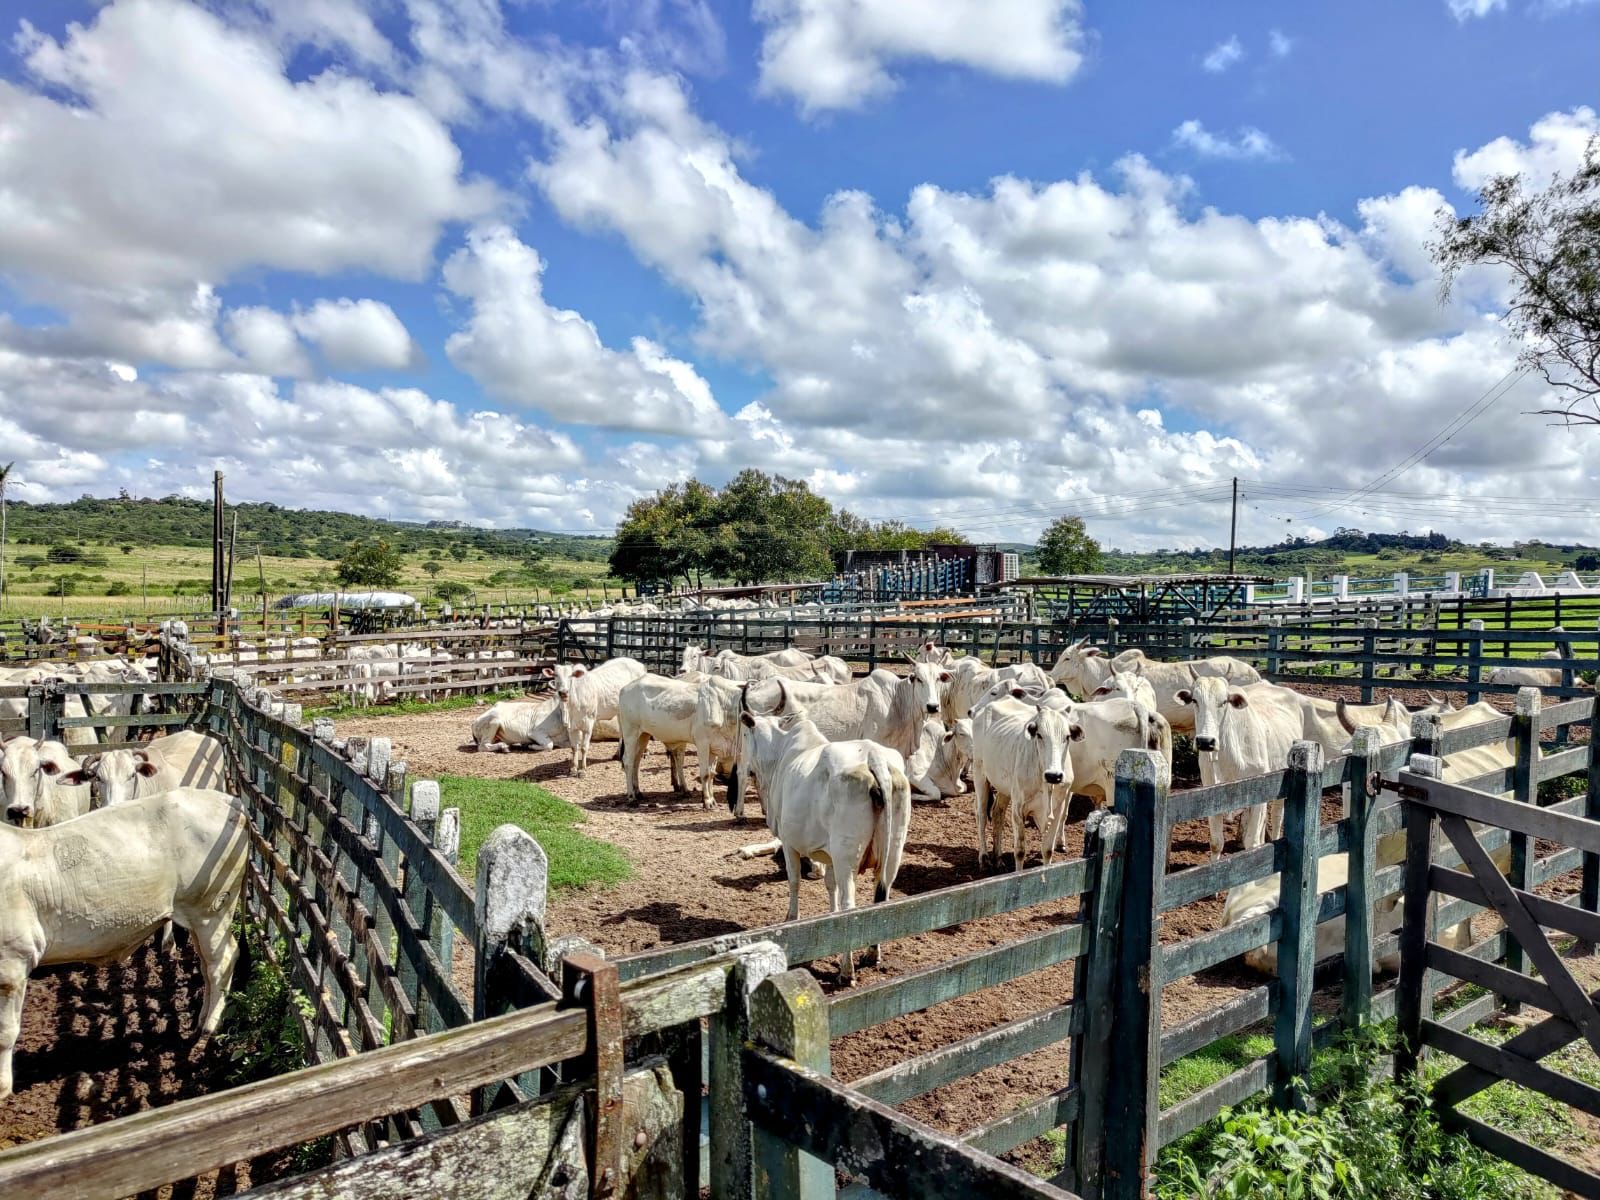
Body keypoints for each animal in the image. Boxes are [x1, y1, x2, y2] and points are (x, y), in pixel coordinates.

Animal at [0, 790, 249, 1100]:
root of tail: (230, 801)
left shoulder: (12, 962)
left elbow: (5, 1032)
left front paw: (2, 1088)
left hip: (211, 908)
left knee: (221, 961)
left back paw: (208, 1028)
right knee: (206, 965)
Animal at [966, 694, 1081, 876]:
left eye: (1067, 737)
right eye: (1039, 735)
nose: (1054, 775)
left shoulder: (1058, 809)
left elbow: (1047, 850)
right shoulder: (1018, 808)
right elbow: (1019, 851)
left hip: (1004, 788)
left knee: (997, 813)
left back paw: (998, 859)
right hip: (980, 774)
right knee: (981, 814)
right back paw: (984, 859)